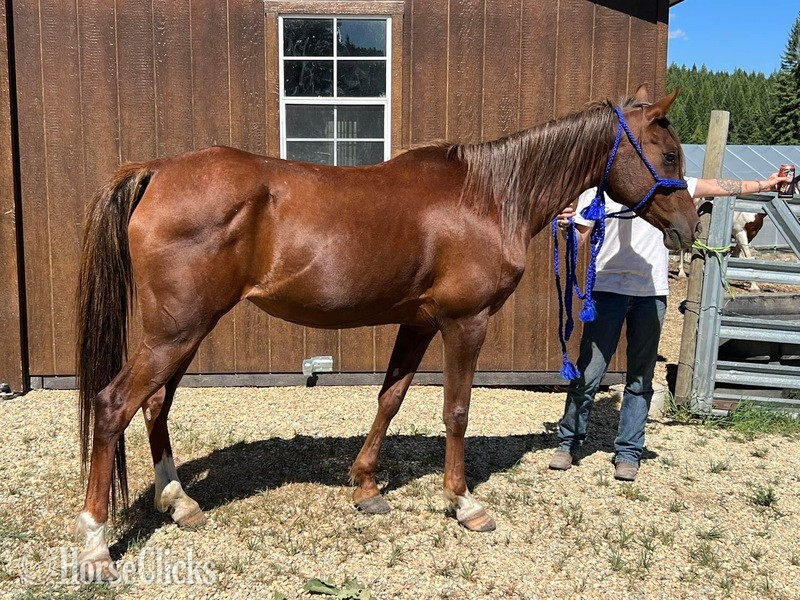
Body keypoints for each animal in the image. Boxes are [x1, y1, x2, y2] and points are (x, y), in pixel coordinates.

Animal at [74, 85, 699, 577]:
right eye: (669, 154)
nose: (689, 229)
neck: (490, 194)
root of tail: (157, 171)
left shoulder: (417, 323)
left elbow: (390, 398)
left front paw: (367, 487)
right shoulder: (465, 323)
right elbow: (456, 411)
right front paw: (463, 502)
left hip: (184, 331)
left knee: (154, 405)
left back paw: (179, 502)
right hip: (175, 331)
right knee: (113, 406)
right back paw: (96, 545)